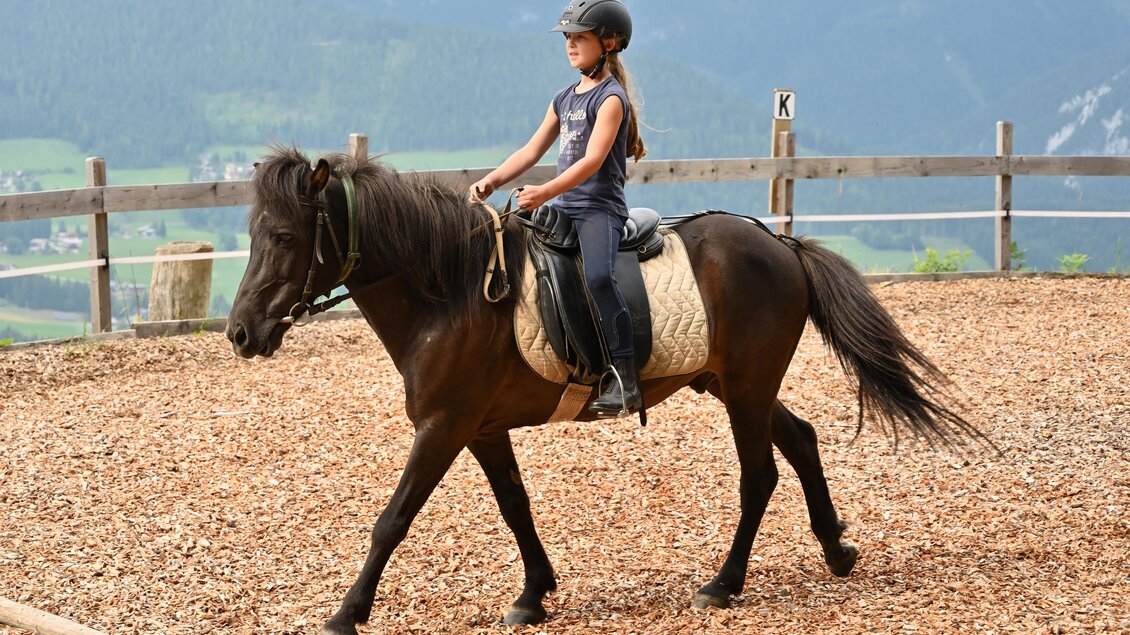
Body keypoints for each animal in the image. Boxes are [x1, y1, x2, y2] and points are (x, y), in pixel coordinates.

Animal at [225, 146, 983, 634]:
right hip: (735, 383)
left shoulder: (443, 426)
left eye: (285, 236)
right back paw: (836, 550)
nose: (240, 332)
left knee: (760, 474)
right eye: (255, 234)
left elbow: (392, 519)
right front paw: (534, 595)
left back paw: (724, 584)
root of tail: (780, 245)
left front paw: (346, 613)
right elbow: (516, 507)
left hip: (744, 388)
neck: (450, 290)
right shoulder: (481, 427)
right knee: (800, 440)